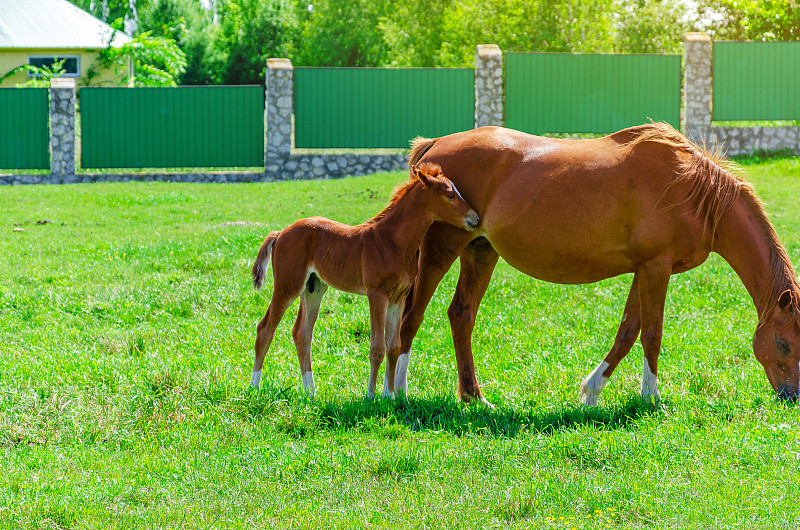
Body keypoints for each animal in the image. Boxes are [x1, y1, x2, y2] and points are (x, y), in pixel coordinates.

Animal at [250, 163, 478, 394]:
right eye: (450, 195)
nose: (475, 218)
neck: (392, 241)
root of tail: (280, 233)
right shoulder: (377, 295)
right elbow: (377, 347)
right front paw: (370, 395)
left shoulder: (398, 299)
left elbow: (393, 347)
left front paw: (390, 395)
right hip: (288, 285)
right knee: (265, 329)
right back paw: (254, 386)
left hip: (313, 288)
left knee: (302, 334)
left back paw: (311, 393)